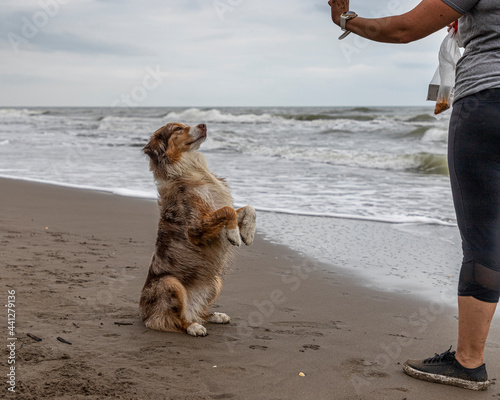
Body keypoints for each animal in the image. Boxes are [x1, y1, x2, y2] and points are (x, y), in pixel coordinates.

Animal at [139, 122, 256, 338]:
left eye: (186, 125)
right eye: (177, 129)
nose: (203, 124)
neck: (190, 169)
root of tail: (145, 315)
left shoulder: (216, 207)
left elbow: (248, 208)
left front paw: (247, 233)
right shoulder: (194, 228)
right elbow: (228, 211)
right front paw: (234, 235)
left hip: (215, 281)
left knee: (198, 313)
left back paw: (215, 316)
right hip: (169, 283)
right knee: (176, 320)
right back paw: (193, 327)